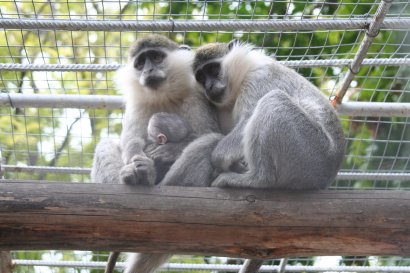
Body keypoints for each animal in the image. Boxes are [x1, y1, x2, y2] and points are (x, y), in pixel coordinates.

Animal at [91, 34, 219, 272]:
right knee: (106, 145)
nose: (148, 70)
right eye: (140, 63)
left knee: (209, 141)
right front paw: (137, 166)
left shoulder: (197, 96)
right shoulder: (137, 104)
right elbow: (131, 141)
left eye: (157, 58)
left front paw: (164, 153)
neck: (164, 95)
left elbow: (207, 133)